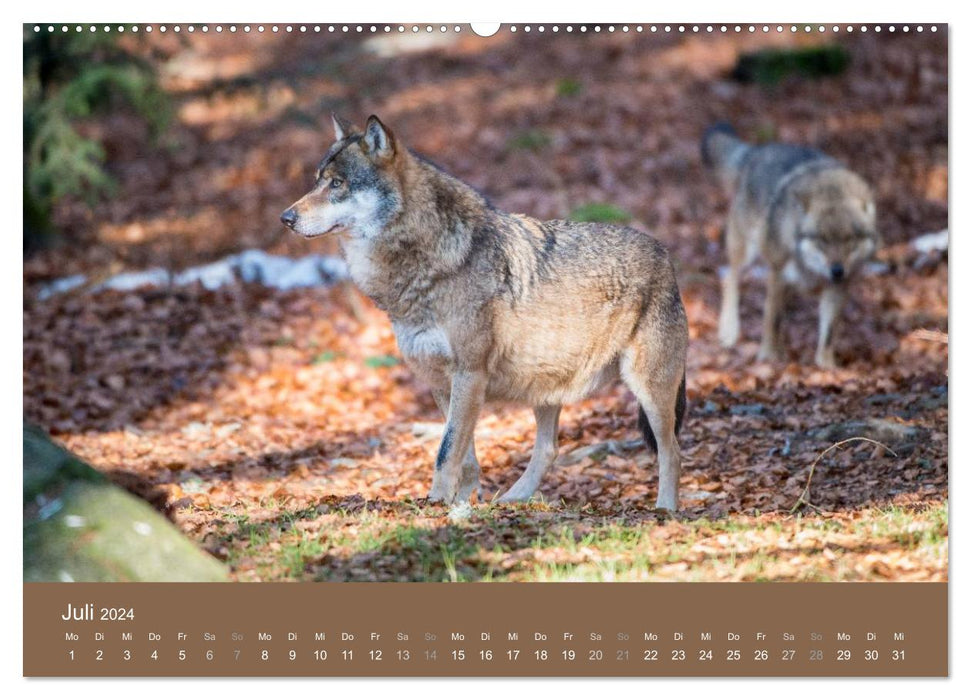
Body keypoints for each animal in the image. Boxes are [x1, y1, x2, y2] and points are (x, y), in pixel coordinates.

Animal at [280, 113, 692, 508]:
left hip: (648, 390)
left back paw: (664, 510)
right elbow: (465, 458)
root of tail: (666, 256)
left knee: (672, 451)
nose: (286, 217)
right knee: (549, 448)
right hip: (546, 385)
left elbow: (445, 453)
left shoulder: (469, 373)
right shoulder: (443, 383)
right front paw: (461, 504)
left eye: (338, 184)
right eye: (317, 181)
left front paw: (434, 505)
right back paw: (512, 500)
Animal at [704, 123, 876, 370]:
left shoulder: (838, 288)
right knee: (729, 278)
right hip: (747, 252)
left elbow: (828, 333)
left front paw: (827, 367)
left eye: (849, 239)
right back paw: (729, 332)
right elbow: (772, 320)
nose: (837, 270)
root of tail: (757, 151)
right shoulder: (778, 274)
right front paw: (768, 357)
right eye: (822, 239)